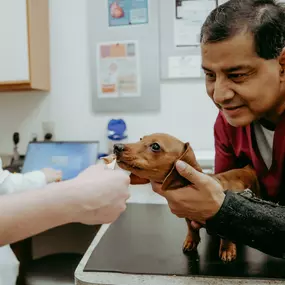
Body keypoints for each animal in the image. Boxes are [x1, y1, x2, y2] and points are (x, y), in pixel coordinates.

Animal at [103, 133, 258, 262]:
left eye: (155, 146)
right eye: (141, 139)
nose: (116, 147)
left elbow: (226, 235)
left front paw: (227, 250)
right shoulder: (188, 215)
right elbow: (191, 228)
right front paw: (191, 241)